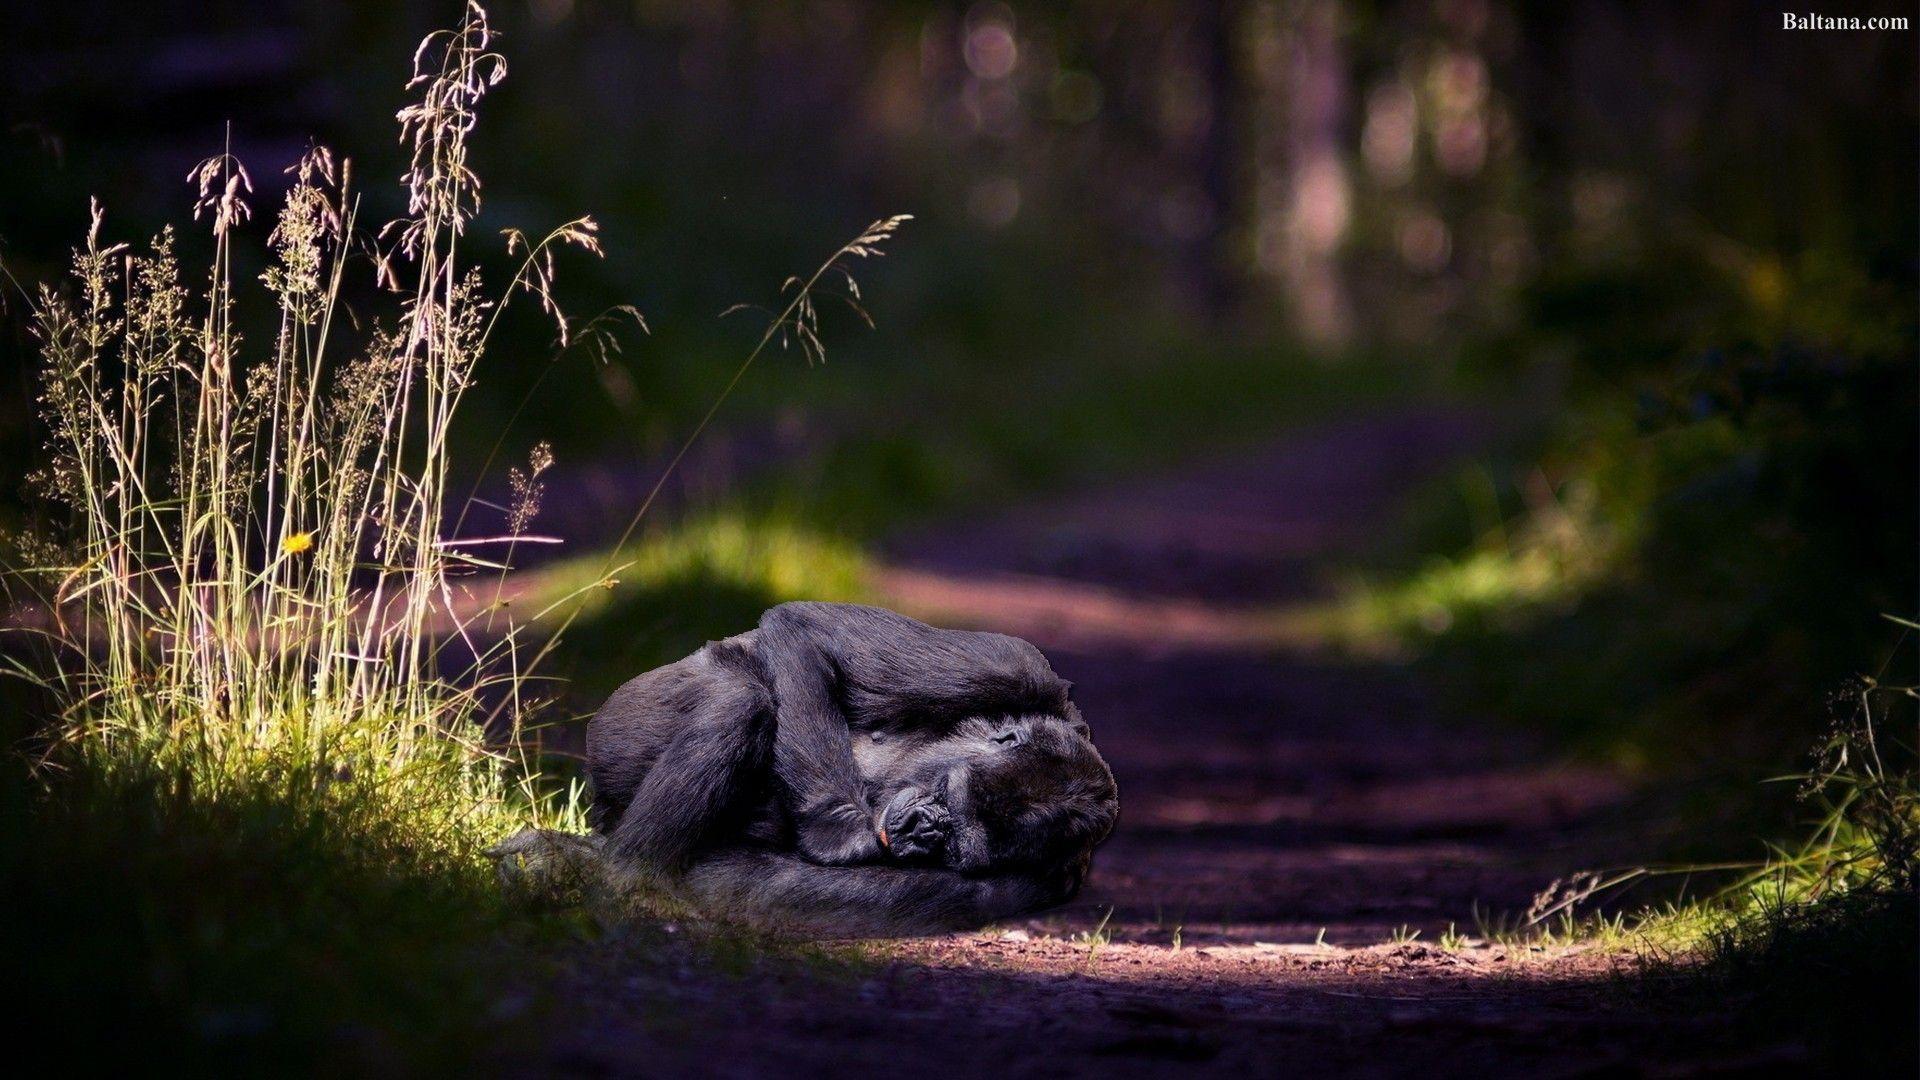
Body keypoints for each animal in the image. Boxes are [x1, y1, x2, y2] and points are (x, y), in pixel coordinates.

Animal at [578, 602, 1119, 935]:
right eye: (946, 793)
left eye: (955, 844)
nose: (924, 827)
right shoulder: (1018, 668)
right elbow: (804, 632)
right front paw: (839, 831)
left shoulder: (1046, 881)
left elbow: (761, 886)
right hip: (616, 727)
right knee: (736, 698)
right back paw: (627, 876)